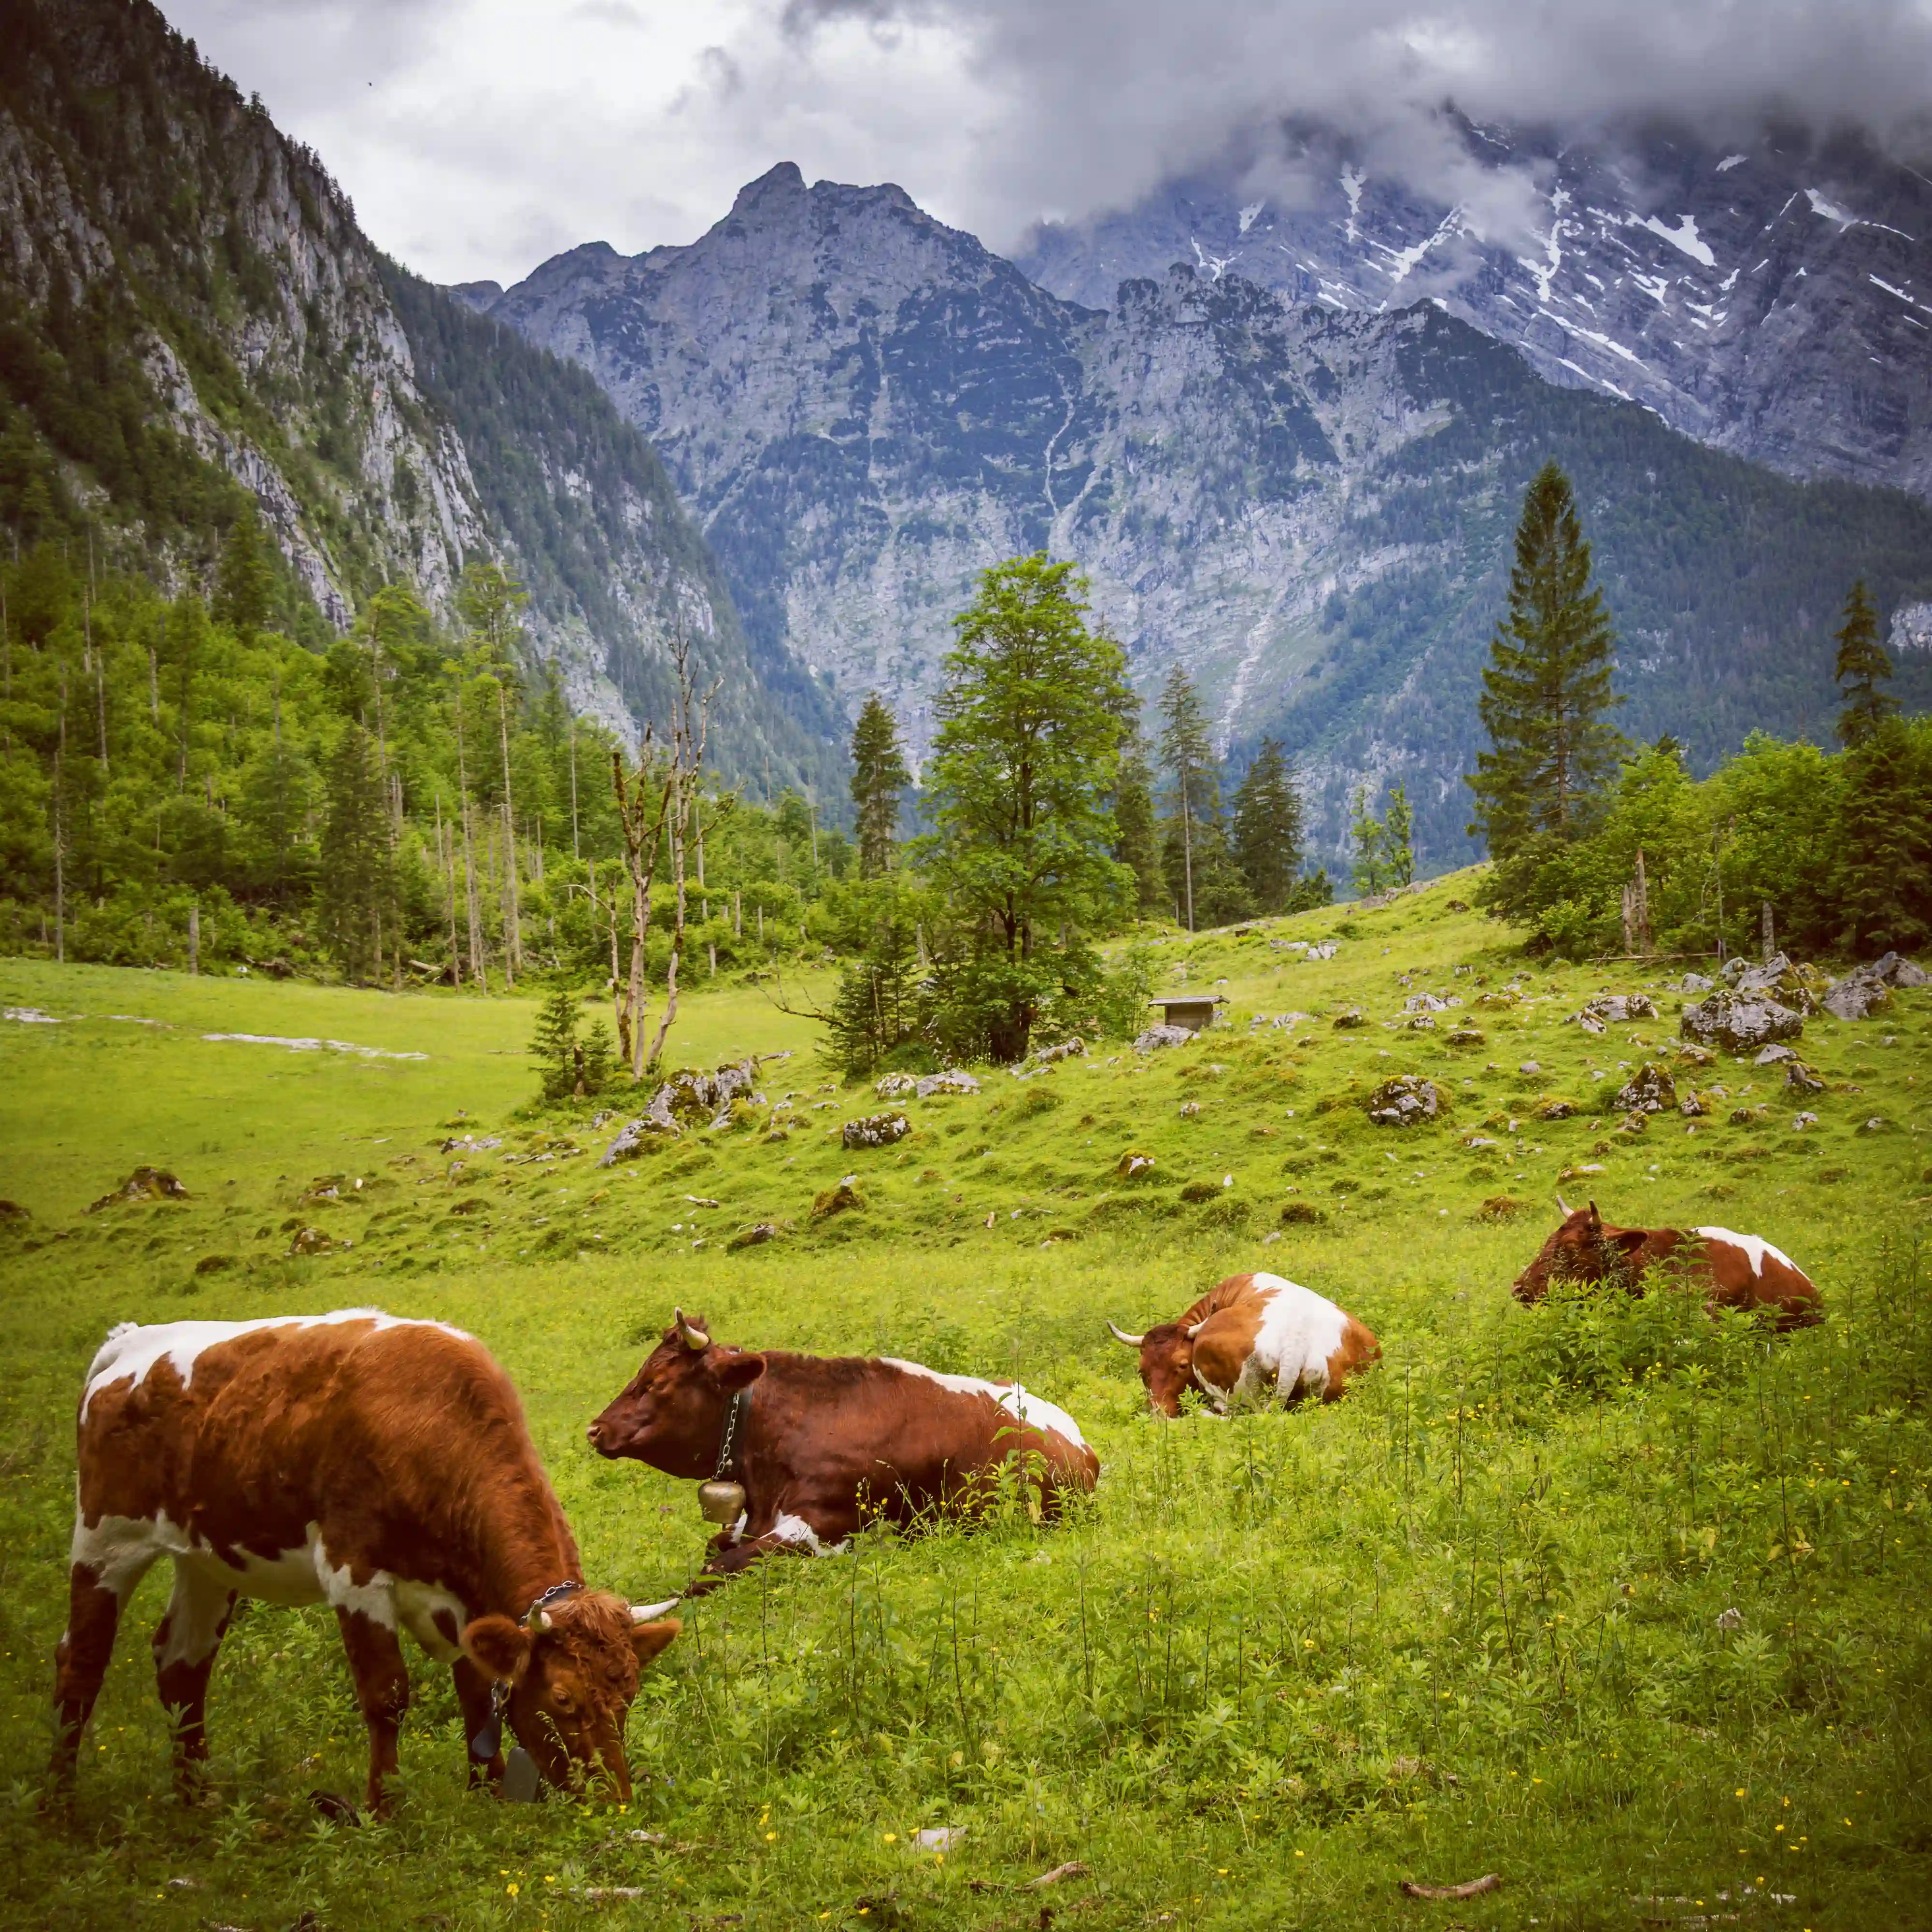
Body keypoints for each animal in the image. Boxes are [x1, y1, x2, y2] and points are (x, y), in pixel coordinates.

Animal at [51, 1310, 681, 1814]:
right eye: (563, 1699)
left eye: (629, 1694)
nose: (614, 1802)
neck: (431, 1428)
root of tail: (130, 1343)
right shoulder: (352, 1571)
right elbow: (387, 1697)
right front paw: (384, 1809)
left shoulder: (462, 1599)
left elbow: (478, 1693)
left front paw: (488, 1793)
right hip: (106, 1538)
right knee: (80, 1662)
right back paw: (60, 1805)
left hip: (207, 1558)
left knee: (182, 1665)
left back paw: (196, 1798)